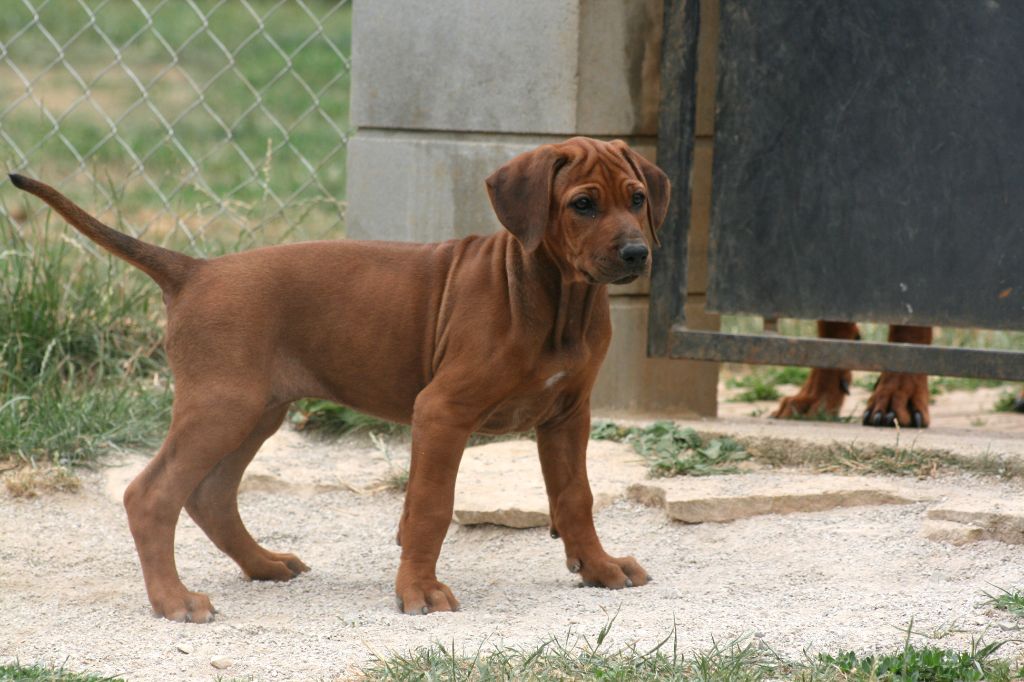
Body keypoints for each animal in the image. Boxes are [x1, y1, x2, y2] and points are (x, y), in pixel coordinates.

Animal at [12, 134, 667, 622]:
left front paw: (599, 567)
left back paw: (262, 565)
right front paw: (419, 590)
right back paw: (173, 600)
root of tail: (195, 270)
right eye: (582, 204)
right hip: (223, 405)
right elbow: (431, 506)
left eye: (637, 198)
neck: (557, 301)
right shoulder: (442, 411)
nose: (638, 254)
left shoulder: (568, 414)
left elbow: (576, 498)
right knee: (152, 495)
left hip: (256, 409)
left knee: (210, 494)